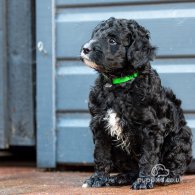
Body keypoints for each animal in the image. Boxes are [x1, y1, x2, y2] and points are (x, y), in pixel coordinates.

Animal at [79, 17, 192, 190]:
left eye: (112, 40)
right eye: (95, 35)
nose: (86, 48)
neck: (118, 83)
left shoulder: (151, 127)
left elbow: (148, 157)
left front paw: (143, 181)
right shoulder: (99, 124)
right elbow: (101, 154)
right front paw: (97, 178)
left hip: (178, 138)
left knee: (177, 165)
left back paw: (167, 176)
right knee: (130, 169)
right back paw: (120, 178)